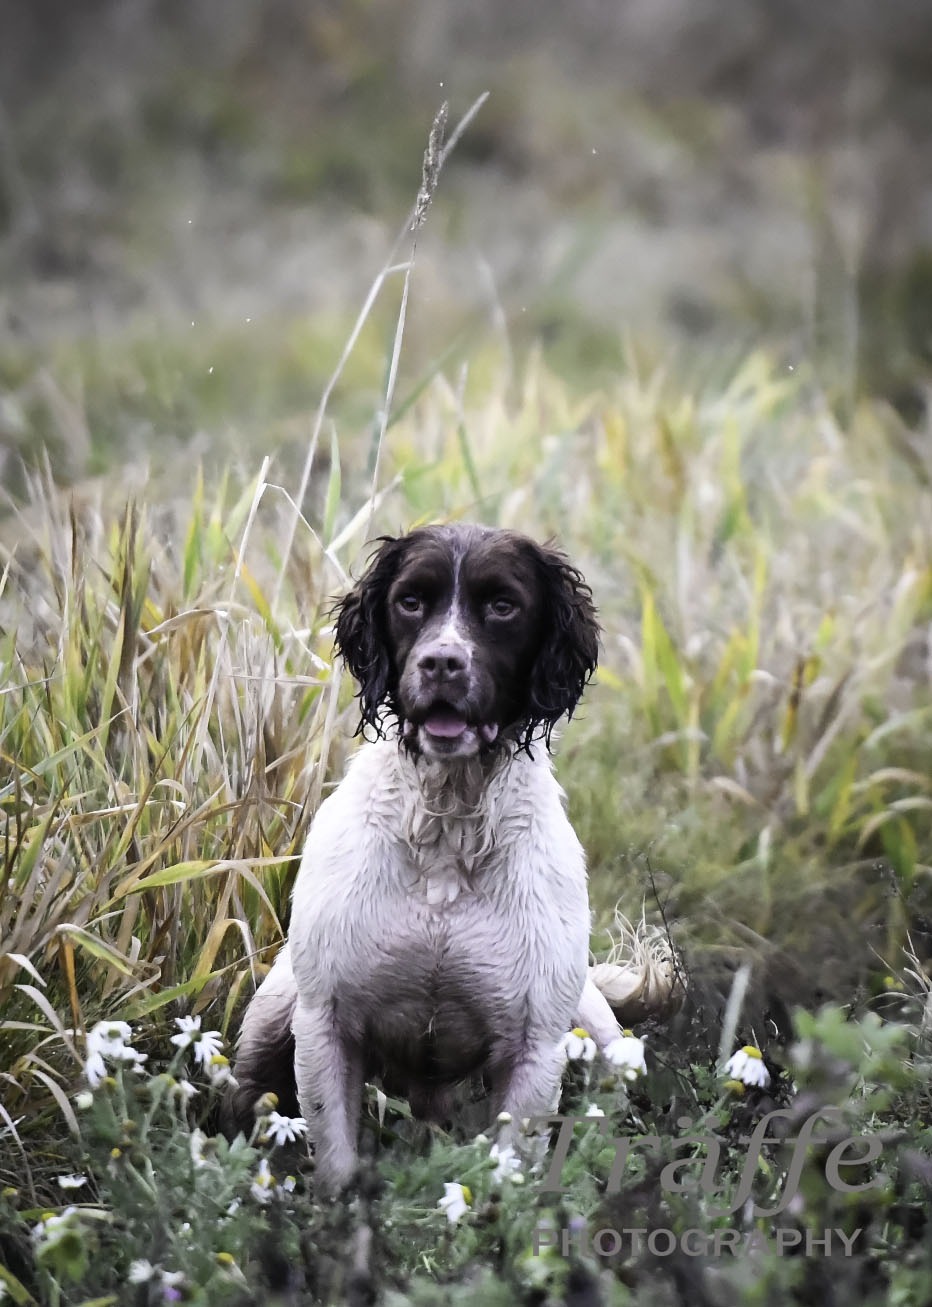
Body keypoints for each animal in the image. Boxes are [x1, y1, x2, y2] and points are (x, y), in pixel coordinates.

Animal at [224, 525, 674, 1191]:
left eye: (503, 606)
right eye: (411, 601)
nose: (441, 662)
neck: (447, 834)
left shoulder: (535, 1044)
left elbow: (506, 1176)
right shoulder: (326, 1021)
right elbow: (336, 1161)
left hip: (598, 1035)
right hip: (272, 1012)